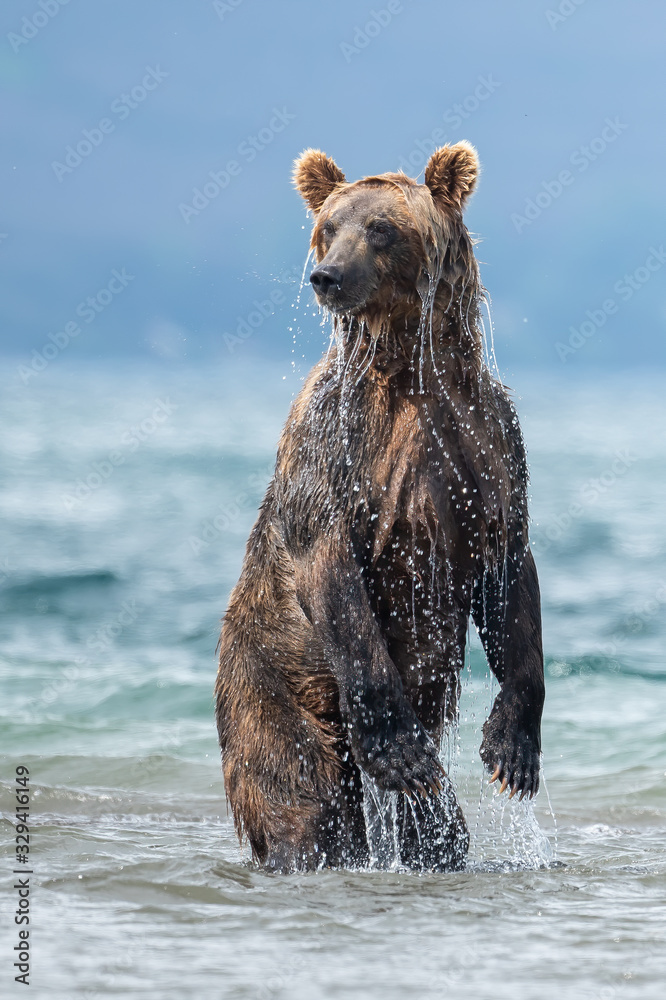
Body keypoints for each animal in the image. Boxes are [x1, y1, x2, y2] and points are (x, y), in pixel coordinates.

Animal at [215, 143, 545, 872]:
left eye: (380, 228)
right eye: (327, 226)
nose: (326, 276)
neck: (409, 371)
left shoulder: (489, 443)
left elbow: (511, 575)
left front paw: (513, 751)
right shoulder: (333, 445)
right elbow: (333, 569)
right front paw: (400, 752)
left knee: (433, 828)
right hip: (272, 680)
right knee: (302, 797)